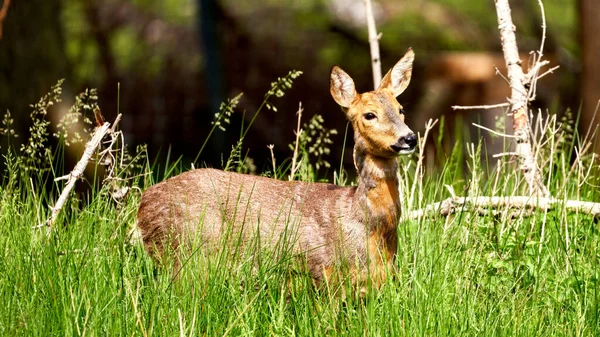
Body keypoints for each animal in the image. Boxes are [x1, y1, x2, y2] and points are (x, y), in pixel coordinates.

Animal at [136, 48, 418, 288]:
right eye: (369, 115)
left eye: (401, 109)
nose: (409, 138)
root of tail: (142, 204)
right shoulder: (321, 275)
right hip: (185, 250)